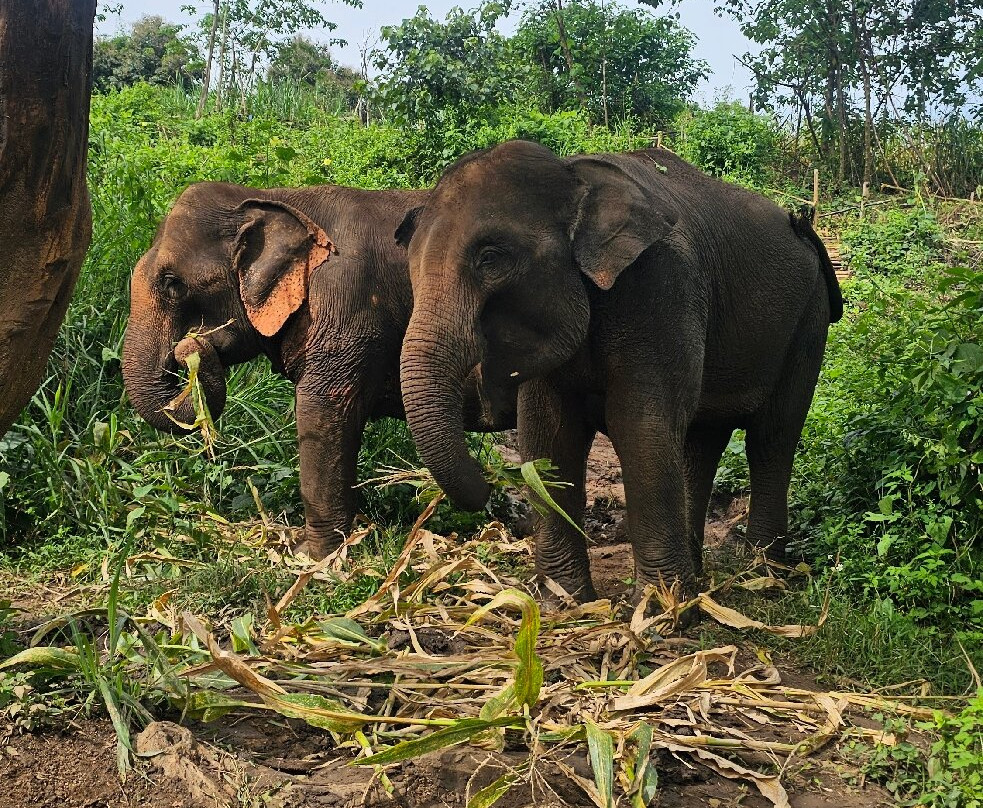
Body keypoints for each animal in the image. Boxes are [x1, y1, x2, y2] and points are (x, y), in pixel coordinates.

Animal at [122, 181, 512, 558]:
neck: (271, 197)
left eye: (172, 284)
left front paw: (311, 557)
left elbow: (321, 409)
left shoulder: (347, 306)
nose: (189, 347)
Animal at [396, 139, 843, 603]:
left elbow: (640, 425)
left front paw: (659, 608)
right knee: (701, 443)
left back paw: (761, 575)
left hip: (809, 320)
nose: (490, 489)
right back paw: (700, 578)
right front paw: (565, 603)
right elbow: (548, 435)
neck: (575, 176)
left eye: (490, 259)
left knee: (772, 437)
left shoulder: (663, 285)